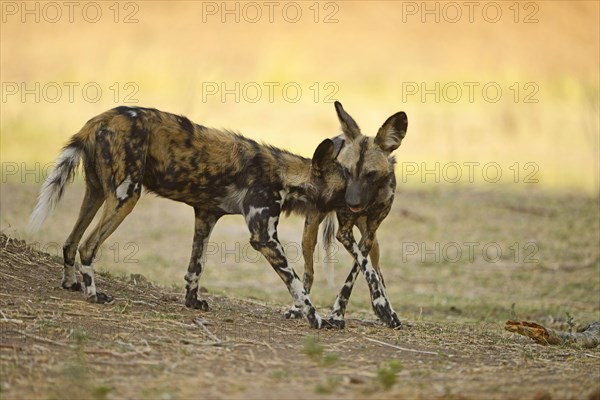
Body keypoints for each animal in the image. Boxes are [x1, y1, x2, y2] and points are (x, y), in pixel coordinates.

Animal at [28, 105, 346, 328]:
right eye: (347, 186)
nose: (357, 205)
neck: (285, 175)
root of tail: (96, 121)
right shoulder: (264, 237)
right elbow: (297, 285)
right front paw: (316, 319)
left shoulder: (206, 216)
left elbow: (196, 266)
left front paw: (192, 302)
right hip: (126, 197)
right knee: (87, 246)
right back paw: (94, 295)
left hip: (96, 193)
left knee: (70, 242)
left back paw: (70, 284)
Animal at [286, 102, 408, 328]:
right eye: (346, 171)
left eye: (371, 174)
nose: (351, 203)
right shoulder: (343, 233)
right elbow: (364, 269)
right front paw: (337, 315)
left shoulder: (369, 235)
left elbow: (363, 270)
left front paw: (381, 306)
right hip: (310, 232)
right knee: (309, 273)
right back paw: (296, 308)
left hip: (375, 243)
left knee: (378, 269)